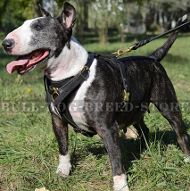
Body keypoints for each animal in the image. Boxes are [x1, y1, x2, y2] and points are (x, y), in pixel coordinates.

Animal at [1, 2, 190, 191]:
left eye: (38, 27)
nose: (5, 43)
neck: (71, 75)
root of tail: (152, 58)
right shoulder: (57, 120)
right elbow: (63, 147)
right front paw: (63, 172)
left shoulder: (107, 127)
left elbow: (115, 158)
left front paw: (121, 185)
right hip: (134, 110)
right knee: (144, 128)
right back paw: (145, 148)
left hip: (167, 104)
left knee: (180, 132)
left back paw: (186, 157)